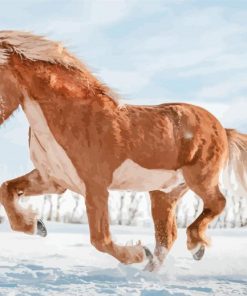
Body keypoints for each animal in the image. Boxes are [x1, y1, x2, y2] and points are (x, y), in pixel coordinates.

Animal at [0, 31, 247, 272]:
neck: (69, 113)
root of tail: (222, 128)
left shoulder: (95, 187)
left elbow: (100, 239)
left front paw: (138, 253)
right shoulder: (53, 180)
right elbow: (7, 189)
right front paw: (37, 225)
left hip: (200, 179)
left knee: (218, 203)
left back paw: (195, 246)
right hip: (164, 192)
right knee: (167, 236)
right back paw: (149, 273)